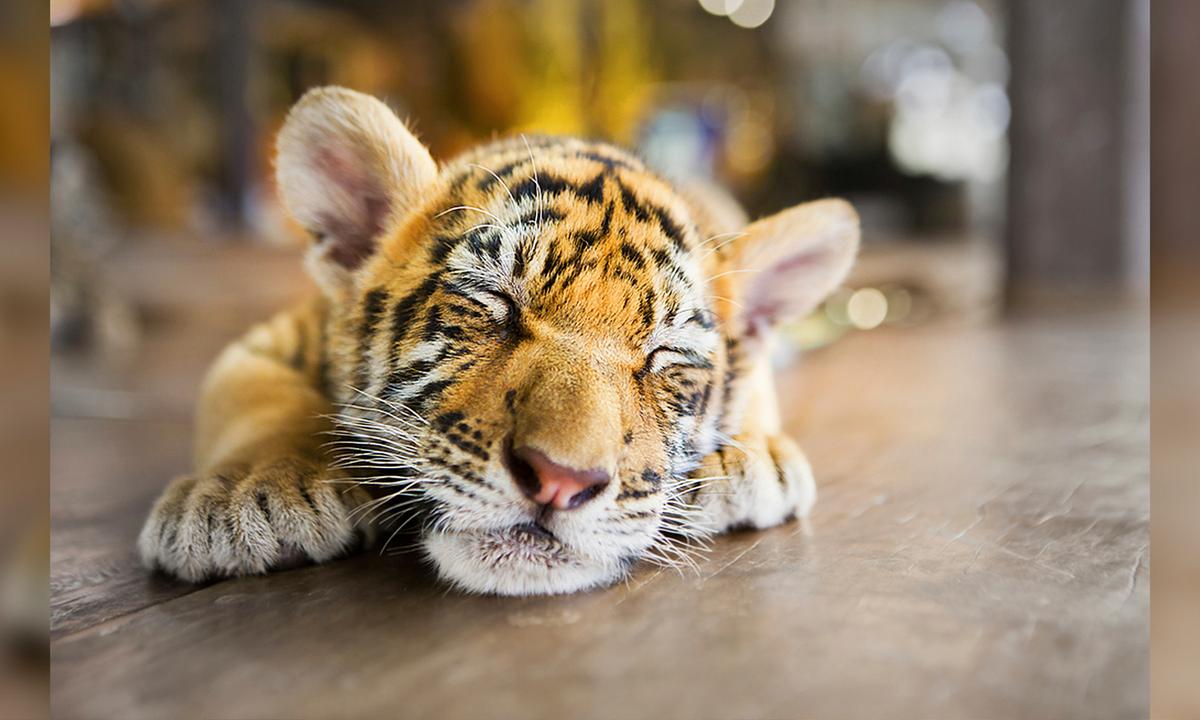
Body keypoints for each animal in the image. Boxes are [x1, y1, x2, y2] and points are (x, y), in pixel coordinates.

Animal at [138, 87, 860, 596]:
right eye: (495, 304)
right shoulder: (265, 341)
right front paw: (245, 494)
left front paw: (749, 458)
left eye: (662, 357)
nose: (561, 482)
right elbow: (257, 400)